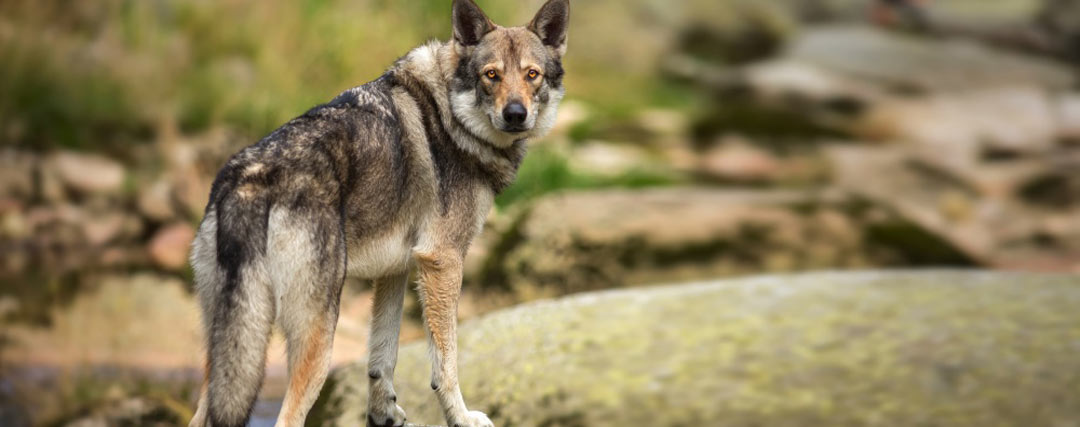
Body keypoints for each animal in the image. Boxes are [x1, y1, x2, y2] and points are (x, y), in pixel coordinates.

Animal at [189, 1, 570, 425]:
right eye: (492, 75)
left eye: (532, 74)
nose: (516, 113)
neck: (450, 117)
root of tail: (248, 180)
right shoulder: (443, 261)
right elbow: (446, 363)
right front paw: (462, 417)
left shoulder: (396, 269)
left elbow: (382, 357)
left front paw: (382, 413)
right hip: (317, 338)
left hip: (226, 352)